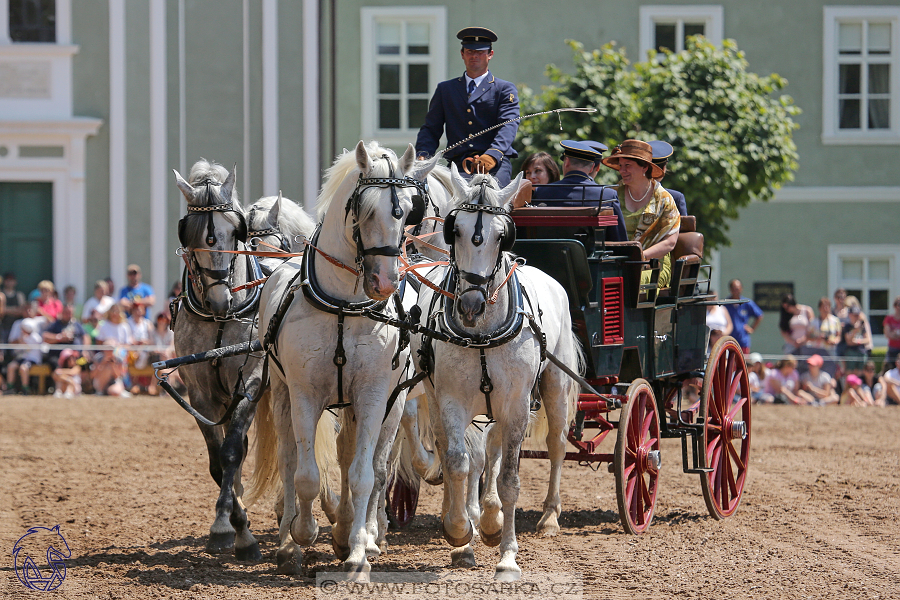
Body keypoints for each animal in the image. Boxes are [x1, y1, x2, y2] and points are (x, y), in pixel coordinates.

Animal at [255, 141, 438, 576]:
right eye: (364, 209)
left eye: (407, 210)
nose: (385, 282)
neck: (343, 306)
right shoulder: (305, 393)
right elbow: (305, 475)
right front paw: (302, 535)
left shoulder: (372, 396)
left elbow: (362, 475)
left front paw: (355, 551)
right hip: (284, 395)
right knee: (290, 459)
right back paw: (290, 538)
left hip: (388, 404)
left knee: (370, 463)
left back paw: (361, 535)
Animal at [410, 165, 580, 580]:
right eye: (454, 229)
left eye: (502, 235)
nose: (470, 305)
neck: (482, 332)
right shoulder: (452, 400)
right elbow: (458, 462)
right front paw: (461, 535)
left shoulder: (516, 403)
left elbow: (510, 479)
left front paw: (507, 556)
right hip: (443, 399)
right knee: (465, 450)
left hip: (551, 386)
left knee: (554, 444)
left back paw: (547, 517)